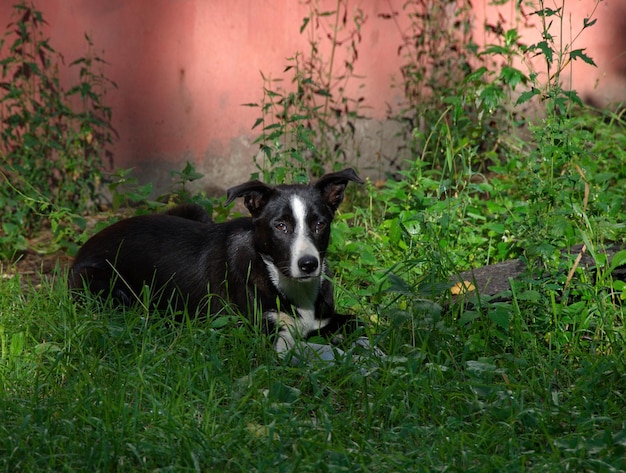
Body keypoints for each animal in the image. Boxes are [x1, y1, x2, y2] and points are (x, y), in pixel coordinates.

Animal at [67, 168, 360, 352]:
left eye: (320, 224)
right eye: (280, 226)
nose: (309, 264)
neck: (278, 278)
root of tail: (87, 244)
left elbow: (360, 323)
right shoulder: (266, 338)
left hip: (194, 211)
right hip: (106, 287)